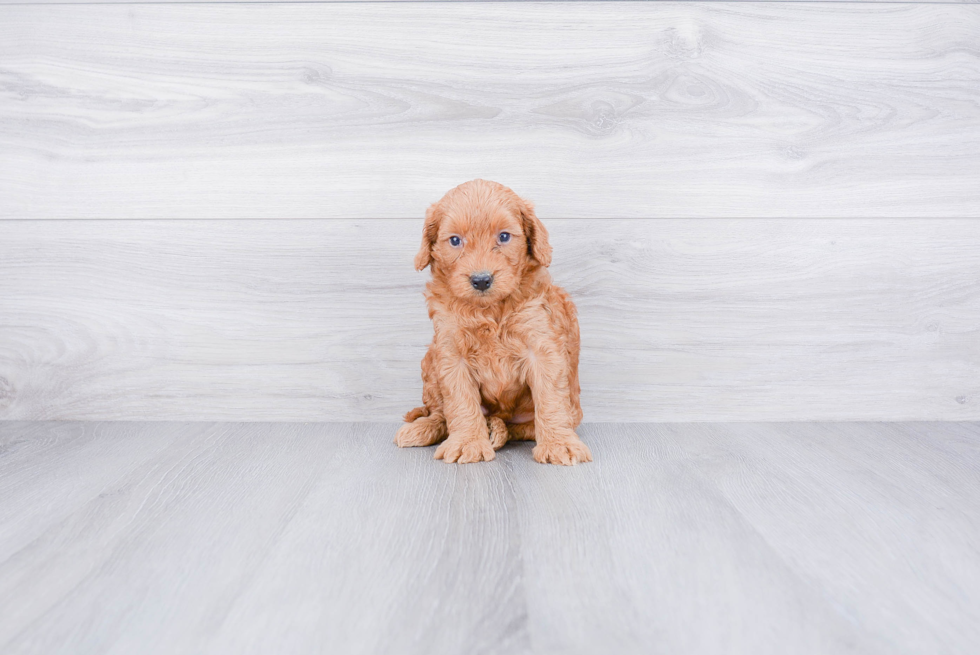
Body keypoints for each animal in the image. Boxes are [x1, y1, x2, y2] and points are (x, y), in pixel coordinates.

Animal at [392, 179, 588, 466]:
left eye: (504, 237)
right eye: (455, 240)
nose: (481, 280)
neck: (490, 309)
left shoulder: (543, 346)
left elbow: (551, 399)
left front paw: (559, 444)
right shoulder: (451, 352)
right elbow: (460, 401)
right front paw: (467, 443)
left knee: (520, 428)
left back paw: (497, 429)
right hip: (430, 361)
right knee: (440, 414)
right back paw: (424, 428)